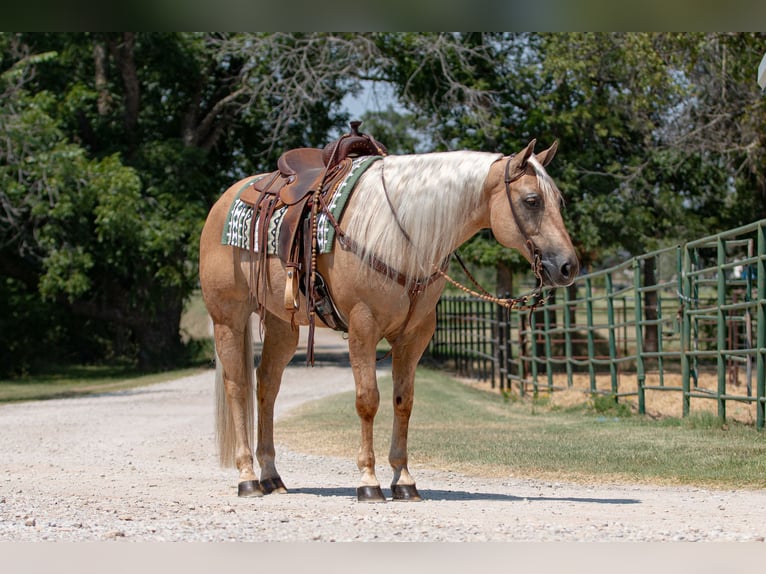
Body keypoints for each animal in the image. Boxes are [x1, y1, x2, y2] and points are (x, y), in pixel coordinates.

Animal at [201, 140, 580, 504]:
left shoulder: (415, 334)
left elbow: (404, 401)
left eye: (559, 201)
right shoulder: (363, 327)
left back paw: (271, 476)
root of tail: (225, 200)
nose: (568, 267)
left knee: (266, 385)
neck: (402, 234)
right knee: (238, 386)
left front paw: (404, 480)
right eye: (531, 201)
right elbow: (368, 400)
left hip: (283, 324)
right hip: (228, 319)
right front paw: (368, 481)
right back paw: (247, 477)